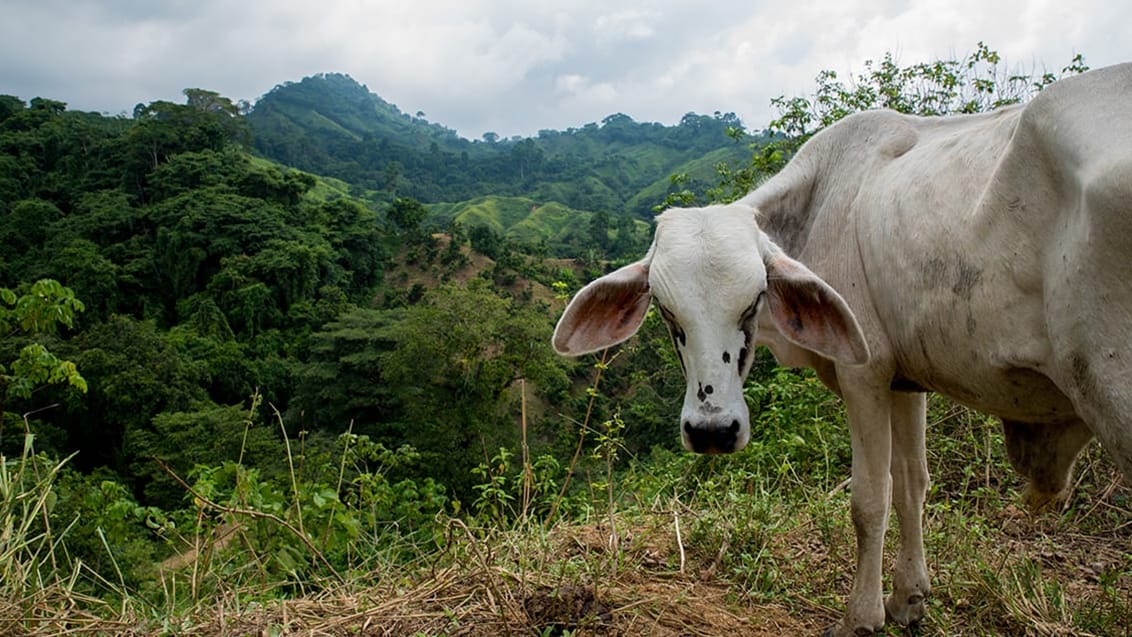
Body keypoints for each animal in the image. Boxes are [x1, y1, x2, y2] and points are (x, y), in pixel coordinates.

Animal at [554, 62, 1132, 633]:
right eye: (666, 311)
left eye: (754, 300)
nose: (712, 431)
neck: (817, 204)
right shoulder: (907, 380)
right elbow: (912, 483)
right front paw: (909, 596)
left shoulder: (865, 375)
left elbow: (869, 500)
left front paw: (862, 615)